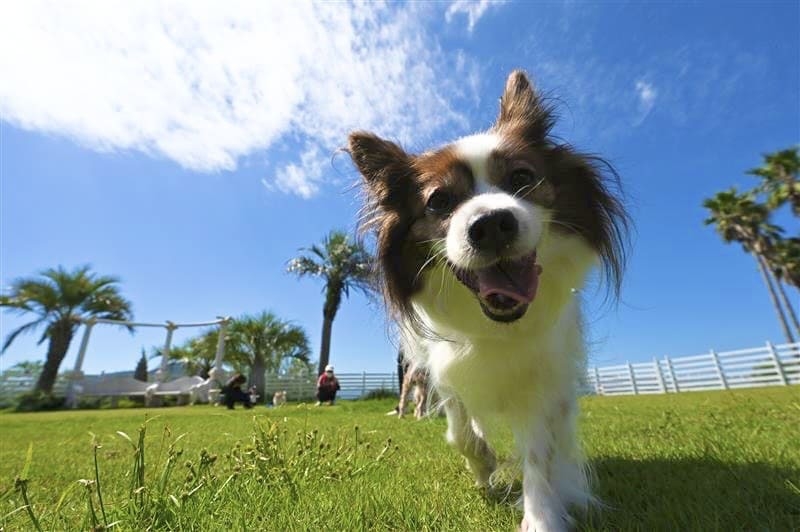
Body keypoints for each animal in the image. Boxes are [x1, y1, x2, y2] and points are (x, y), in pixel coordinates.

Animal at [348, 71, 624, 532]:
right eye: (439, 201)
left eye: (522, 178)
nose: (492, 223)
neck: (497, 325)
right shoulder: (442, 364)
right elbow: (459, 426)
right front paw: (482, 463)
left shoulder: (545, 372)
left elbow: (540, 452)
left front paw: (541, 516)